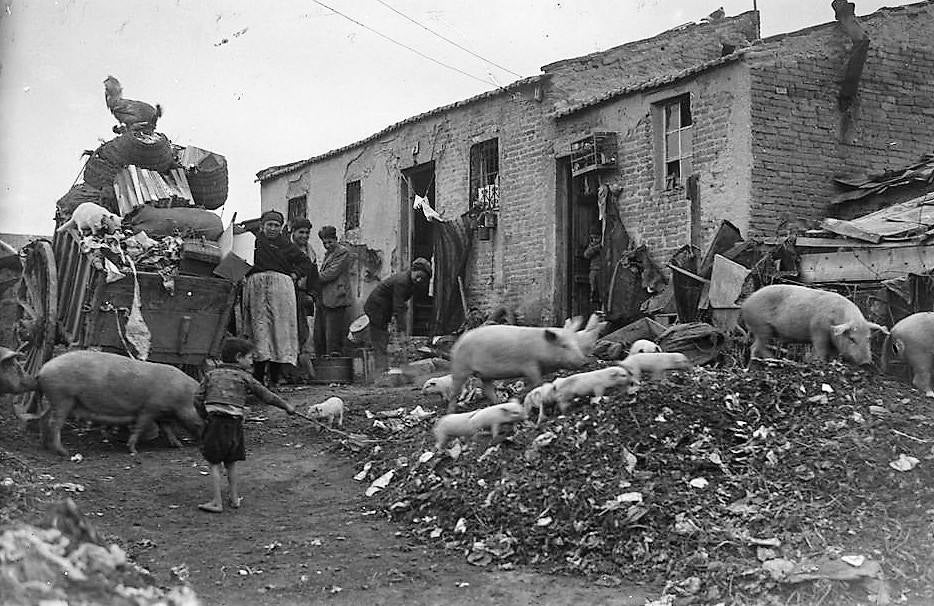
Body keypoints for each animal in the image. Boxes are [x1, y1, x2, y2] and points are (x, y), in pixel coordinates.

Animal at [36, 350, 203, 458]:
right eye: (203, 416)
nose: (199, 444)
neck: (182, 396)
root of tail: (43, 369)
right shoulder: (148, 409)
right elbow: (140, 427)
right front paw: (133, 451)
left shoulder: (161, 413)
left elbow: (168, 429)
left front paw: (178, 445)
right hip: (63, 398)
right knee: (54, 423)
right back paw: (63, 452)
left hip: (55, 400)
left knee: (44, 418)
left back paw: (45, 446)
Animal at [744, 284, 888, 366]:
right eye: (852, 338)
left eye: (868, 338)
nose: (866, 363)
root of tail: (745, 303)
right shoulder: (818, 331)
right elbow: (820, 351)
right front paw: (819, 362)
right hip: (762, 327)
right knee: (755, 347)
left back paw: (773, 359)